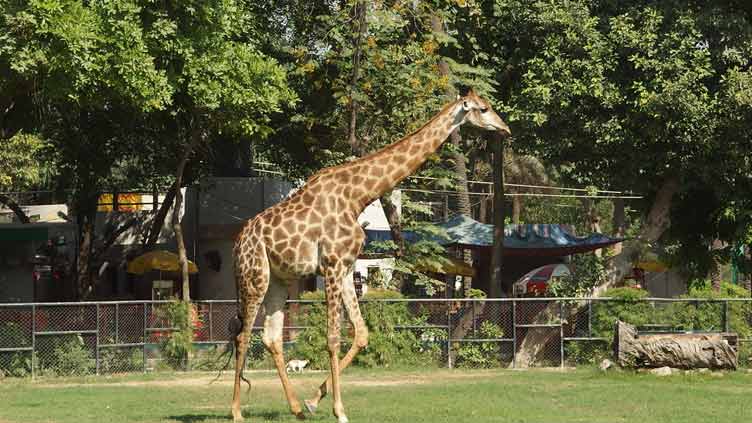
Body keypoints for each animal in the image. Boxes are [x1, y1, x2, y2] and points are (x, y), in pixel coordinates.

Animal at [231, 88, 512, 422]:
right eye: (483, 109)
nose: (506, 128)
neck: (358, 196)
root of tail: (238, 242)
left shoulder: (346, 267)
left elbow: (362, 334)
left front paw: (314, 401)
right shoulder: (331, 264)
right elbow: (332, 337)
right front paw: (339, 411)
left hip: (279, 279)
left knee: (271, 337)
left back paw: (297, 408)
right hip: (255, 276)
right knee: (242, 336)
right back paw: (236, 412)